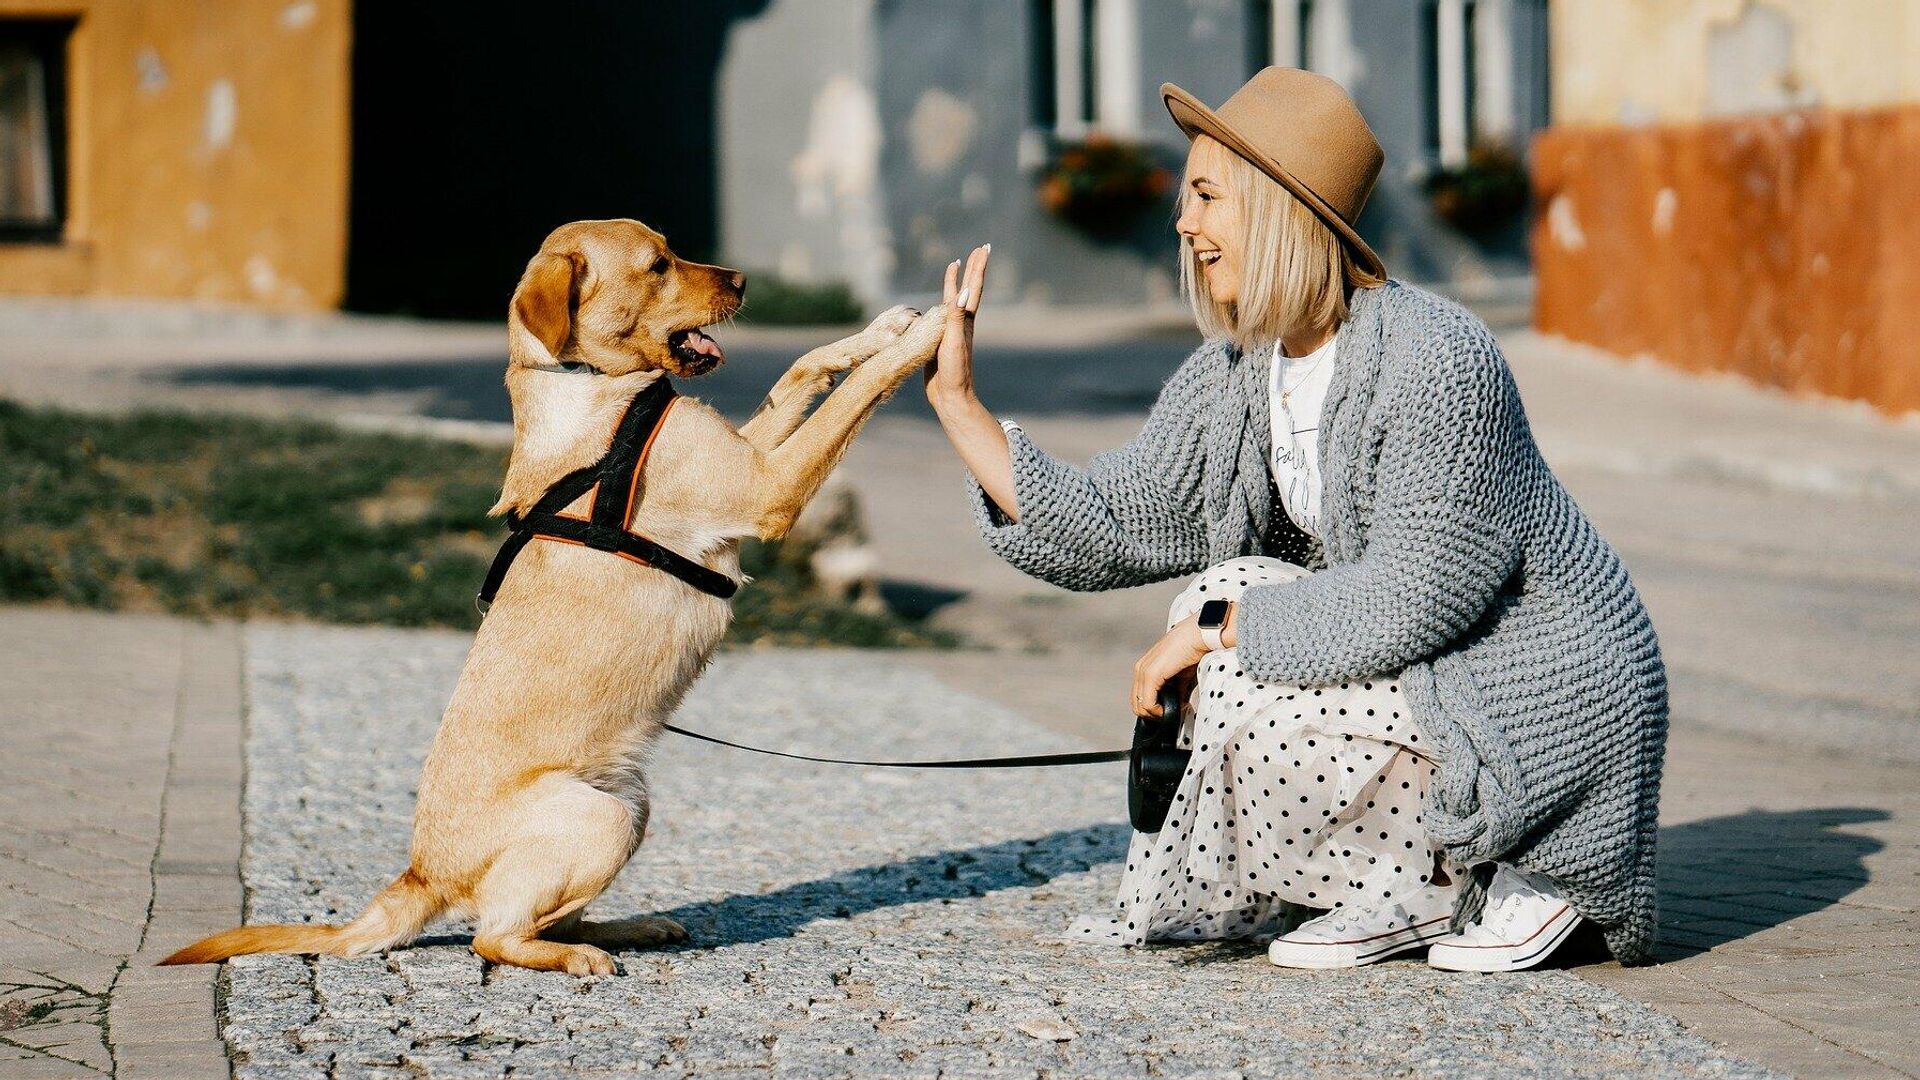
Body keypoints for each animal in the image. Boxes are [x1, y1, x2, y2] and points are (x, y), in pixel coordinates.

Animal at [163, 219, 944, 976]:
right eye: (658, 264)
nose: (745, 280)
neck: (591, 386)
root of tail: (421, 874)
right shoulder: (766, 487)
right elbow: (853, 395)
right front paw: (931, 332)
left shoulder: (749, 454)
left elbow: (804, 367)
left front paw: (883, 328)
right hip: (600, 820)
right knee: (494, 936)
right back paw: (576, 956)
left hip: (631, 805)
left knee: (543, 916)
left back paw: (629, 928)